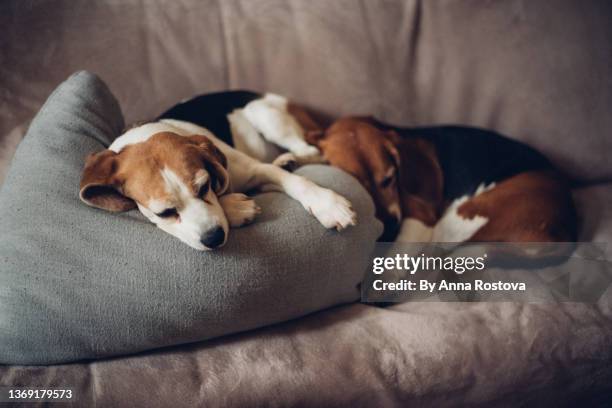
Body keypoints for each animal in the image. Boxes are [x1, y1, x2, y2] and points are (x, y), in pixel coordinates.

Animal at [79, 92, 356, 250]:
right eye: (164, 213)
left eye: (204, 186)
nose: (213, 239)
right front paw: (236, 208)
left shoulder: (257, 169)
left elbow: (298, 183)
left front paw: (327, 204)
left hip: (263, 114)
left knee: (312, 151)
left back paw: (290, 160)